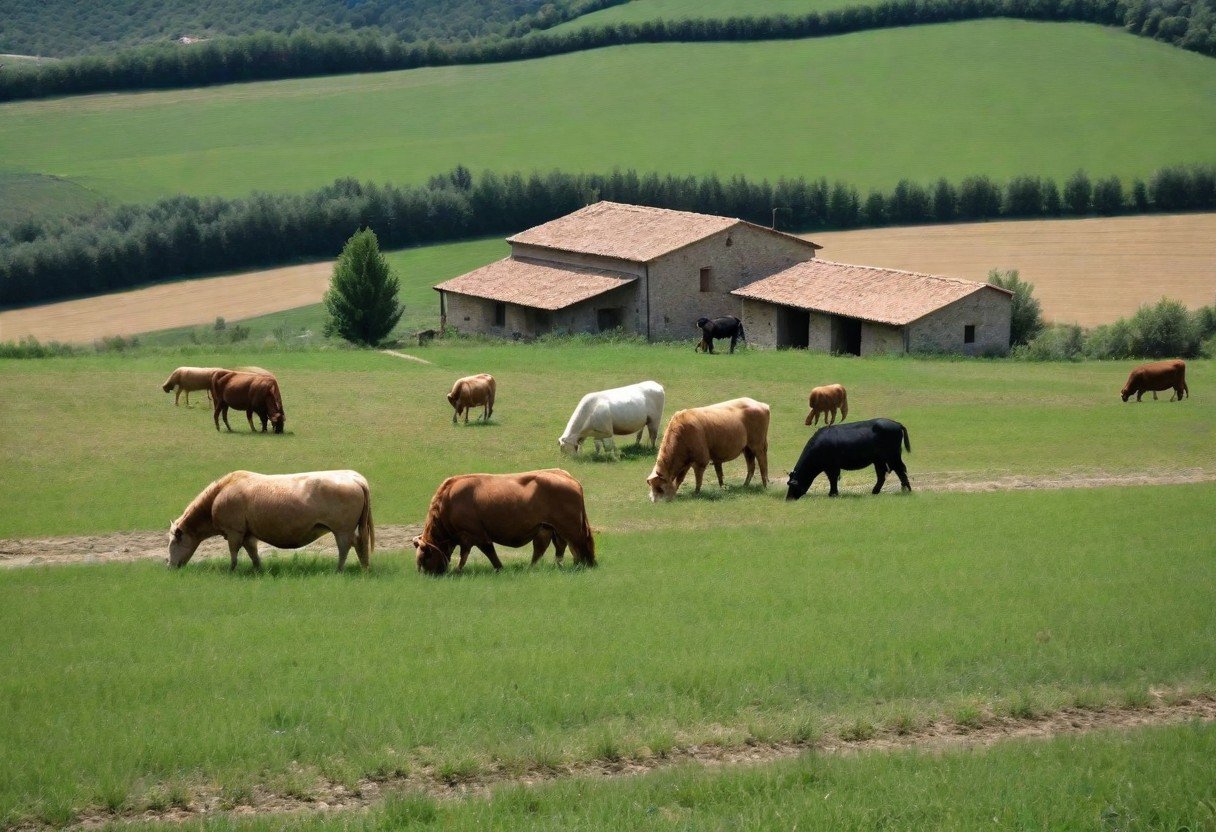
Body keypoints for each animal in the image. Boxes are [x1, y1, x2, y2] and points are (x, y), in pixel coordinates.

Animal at [169, 467, 372, 571]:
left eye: (174, 542)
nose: (169, 565)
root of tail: (354, 478)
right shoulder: (248, 534)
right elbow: (253, 553)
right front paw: (259, 570)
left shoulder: (234, 532)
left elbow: (234, 555)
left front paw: (231, 571)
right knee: (359, 544)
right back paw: (363, 568)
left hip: (342, 529)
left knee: (345, 548)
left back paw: (339, 569)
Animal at [413, 464, 593, 574]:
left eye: (424, 558)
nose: (426, 575)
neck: (449, 500)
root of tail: (568, 477)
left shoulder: (474, 535)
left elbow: (482, 553)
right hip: (549, 529)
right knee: (553, 549)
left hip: (569, 529)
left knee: (577, 547)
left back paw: (580, 566)